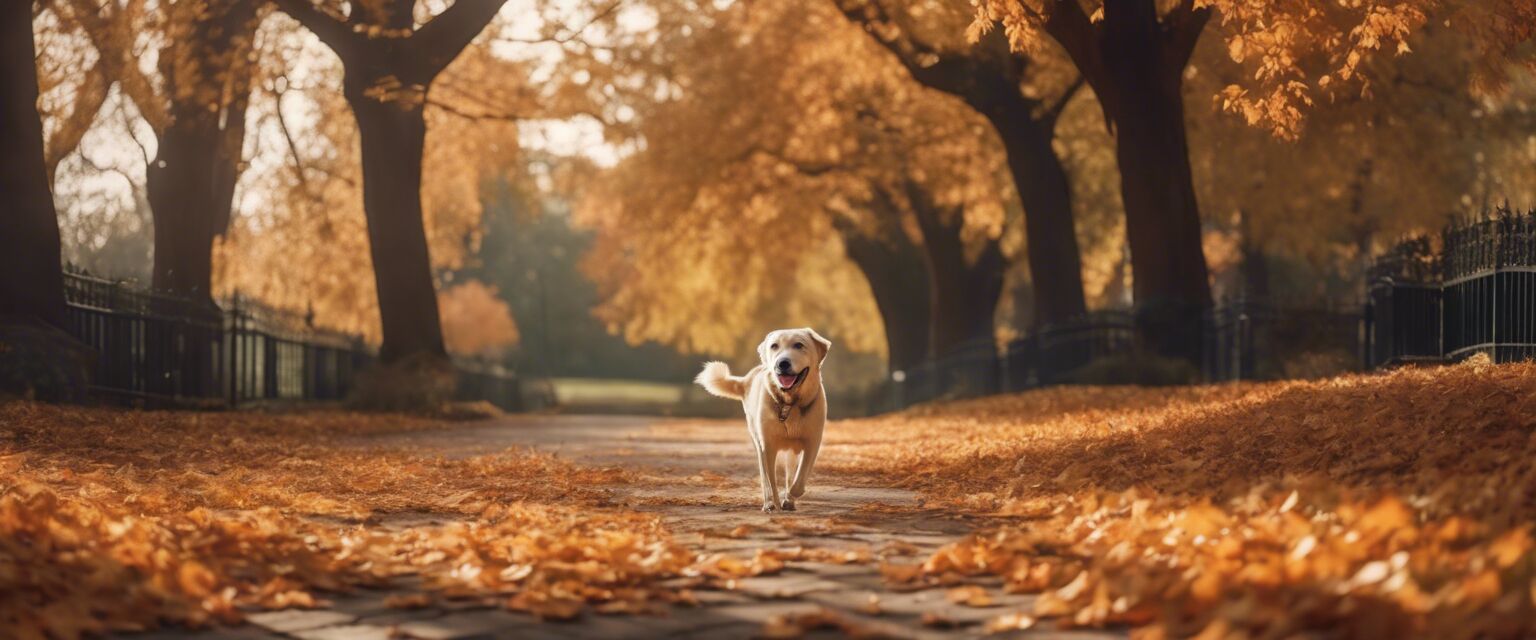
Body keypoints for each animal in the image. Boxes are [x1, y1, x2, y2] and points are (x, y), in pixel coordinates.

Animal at [700, 326, 835, 512]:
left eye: (799, 345)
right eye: (774, 346)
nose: (782, 363)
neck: (789, 403)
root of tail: (747, 378)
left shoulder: (812, 443)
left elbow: (799, 479)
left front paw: (790, 496)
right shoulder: (768, 446)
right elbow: (770, 481)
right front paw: (774, 502)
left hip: (792, 449)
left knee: (791, 471)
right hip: (757, 441)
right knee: (765, 477)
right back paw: (769, 503)